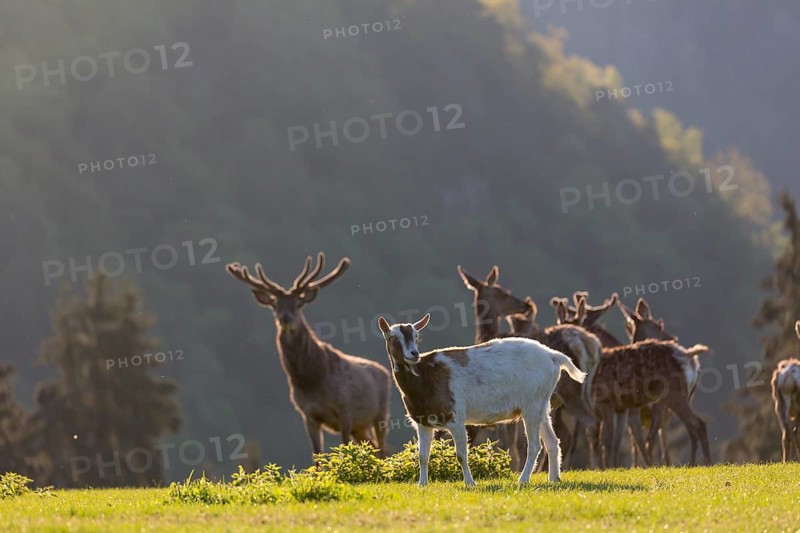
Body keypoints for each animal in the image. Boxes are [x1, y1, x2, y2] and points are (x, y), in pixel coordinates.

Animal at [225, 252, 391, 461]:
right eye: (275, 305)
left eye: (298, 303)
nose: (285, 318)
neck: (311, 380)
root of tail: (384, 371)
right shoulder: (308, 414)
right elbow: (317, 455)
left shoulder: (345, 409)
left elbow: (344, 450)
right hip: (361, 426)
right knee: (373, 447)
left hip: (381, 414)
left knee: (383, 449)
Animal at [377, 313, 586, 486]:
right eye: (393, 338)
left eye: (417, 337)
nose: (414, 354)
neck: (425, 377)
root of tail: (553, 356)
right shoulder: (422, 422)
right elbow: (422, 455)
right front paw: (422, 485)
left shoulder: (455, 417)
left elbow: (461, 454)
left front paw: (470, 483)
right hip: (541, 405)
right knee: (552, 441)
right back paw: (554, 479)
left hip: (532, 405)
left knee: (535, 445)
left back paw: (523, 479)